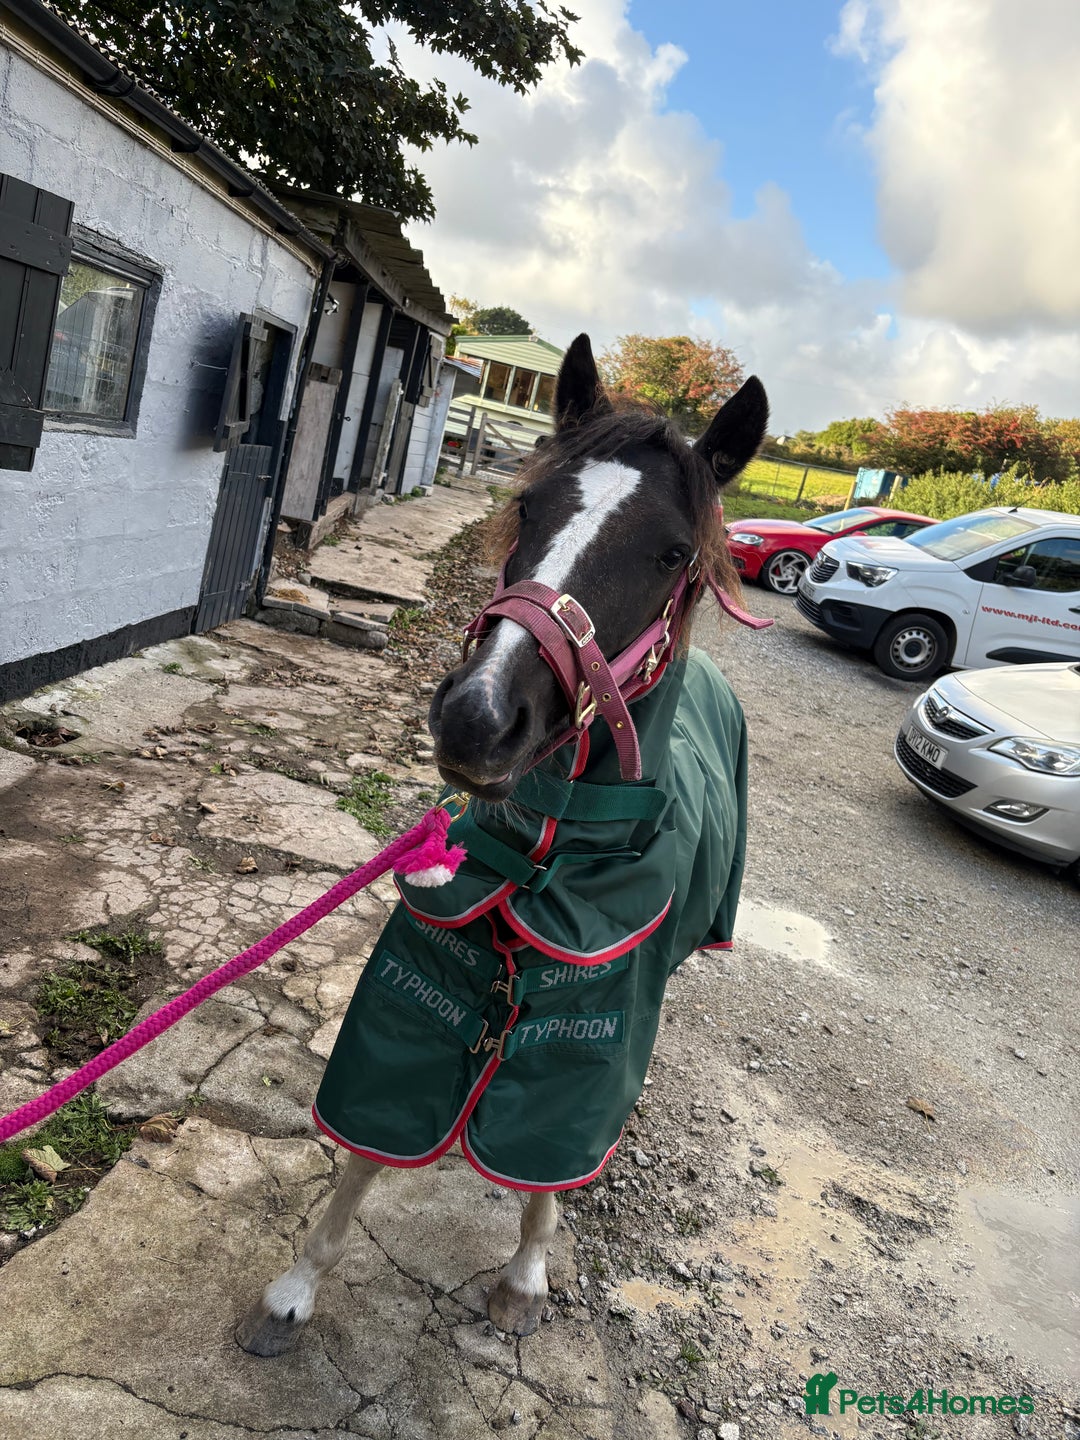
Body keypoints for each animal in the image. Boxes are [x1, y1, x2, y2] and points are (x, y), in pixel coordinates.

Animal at [237, 334, 769, 1357]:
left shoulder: (590, 1023)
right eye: (529, 506)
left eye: (672, 552)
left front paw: (525, 1276)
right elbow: (366, 1147)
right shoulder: (425, 977)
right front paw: (294, 1287)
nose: (478, 717)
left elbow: (547, 1166)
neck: (547, 854)